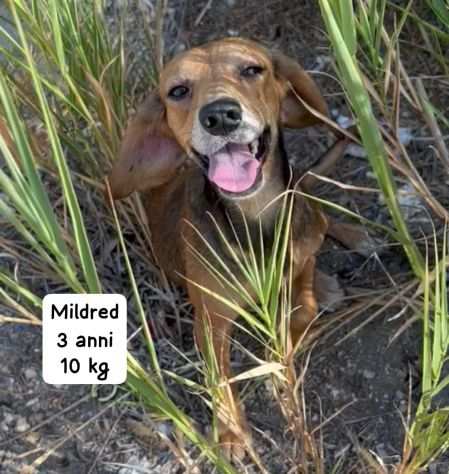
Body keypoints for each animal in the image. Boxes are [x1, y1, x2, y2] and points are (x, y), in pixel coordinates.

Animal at [108, 37, 350, 460]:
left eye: (252, 70)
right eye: (178, 91)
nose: (220, 116)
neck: (255, 218)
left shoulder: (299, 264)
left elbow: (302, 309)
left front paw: (279, 356)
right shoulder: (211, 321)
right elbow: (219, 377)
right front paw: (233, 432)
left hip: (310, 216)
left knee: (320, 220)